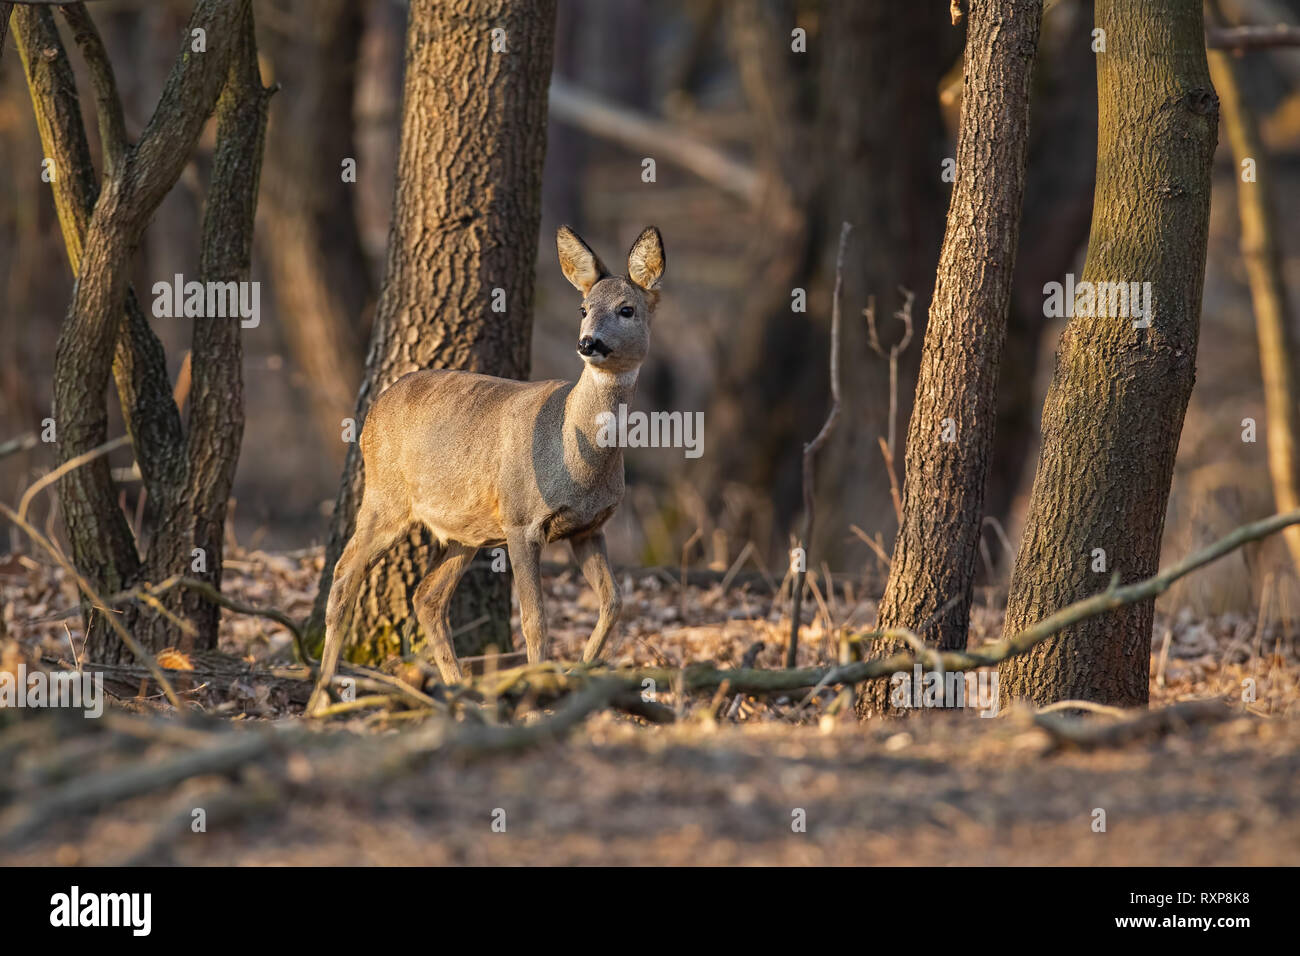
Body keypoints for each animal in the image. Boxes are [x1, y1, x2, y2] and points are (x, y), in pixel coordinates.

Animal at [309, 227, 665, 712]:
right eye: (584, 308)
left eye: (626, 309)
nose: (587, 342)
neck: (576, 458)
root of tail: (375, 408)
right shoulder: (521, 519)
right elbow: (534, 620)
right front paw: (538, 695)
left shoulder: (589, 528)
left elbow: (613, 603)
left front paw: (577, 674)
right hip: (385, 497)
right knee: (346, 576)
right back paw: (320, 700)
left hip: (463, 531)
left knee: (427, 596)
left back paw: (459, 694)